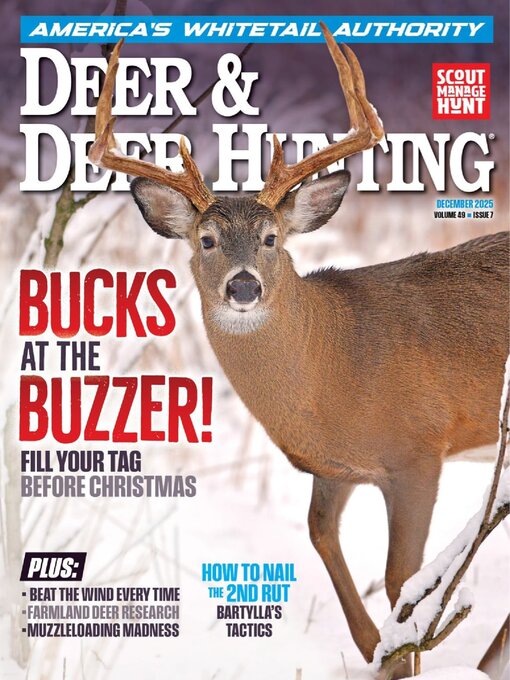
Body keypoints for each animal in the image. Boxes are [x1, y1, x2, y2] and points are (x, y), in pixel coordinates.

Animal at [89, 24, 509, 678]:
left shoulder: (420, 448)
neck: (336, 366)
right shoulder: (334, 469)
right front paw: (374, 648)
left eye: (270, 238)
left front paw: (404, 654)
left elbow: (402, 580)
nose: (243, 287)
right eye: (206, 240)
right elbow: (320, 536)